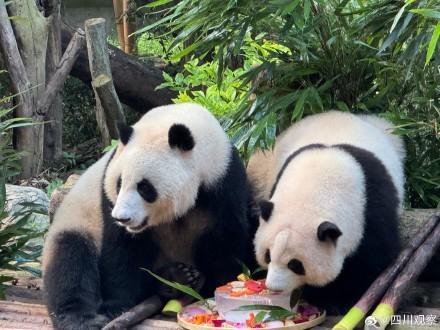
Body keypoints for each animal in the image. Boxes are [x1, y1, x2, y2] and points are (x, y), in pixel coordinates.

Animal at [248, 111, 406, 314]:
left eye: (295, 264)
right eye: (268, 255)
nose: (274, 287)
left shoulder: (372, 205)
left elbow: (373, 259)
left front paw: (340, 300)